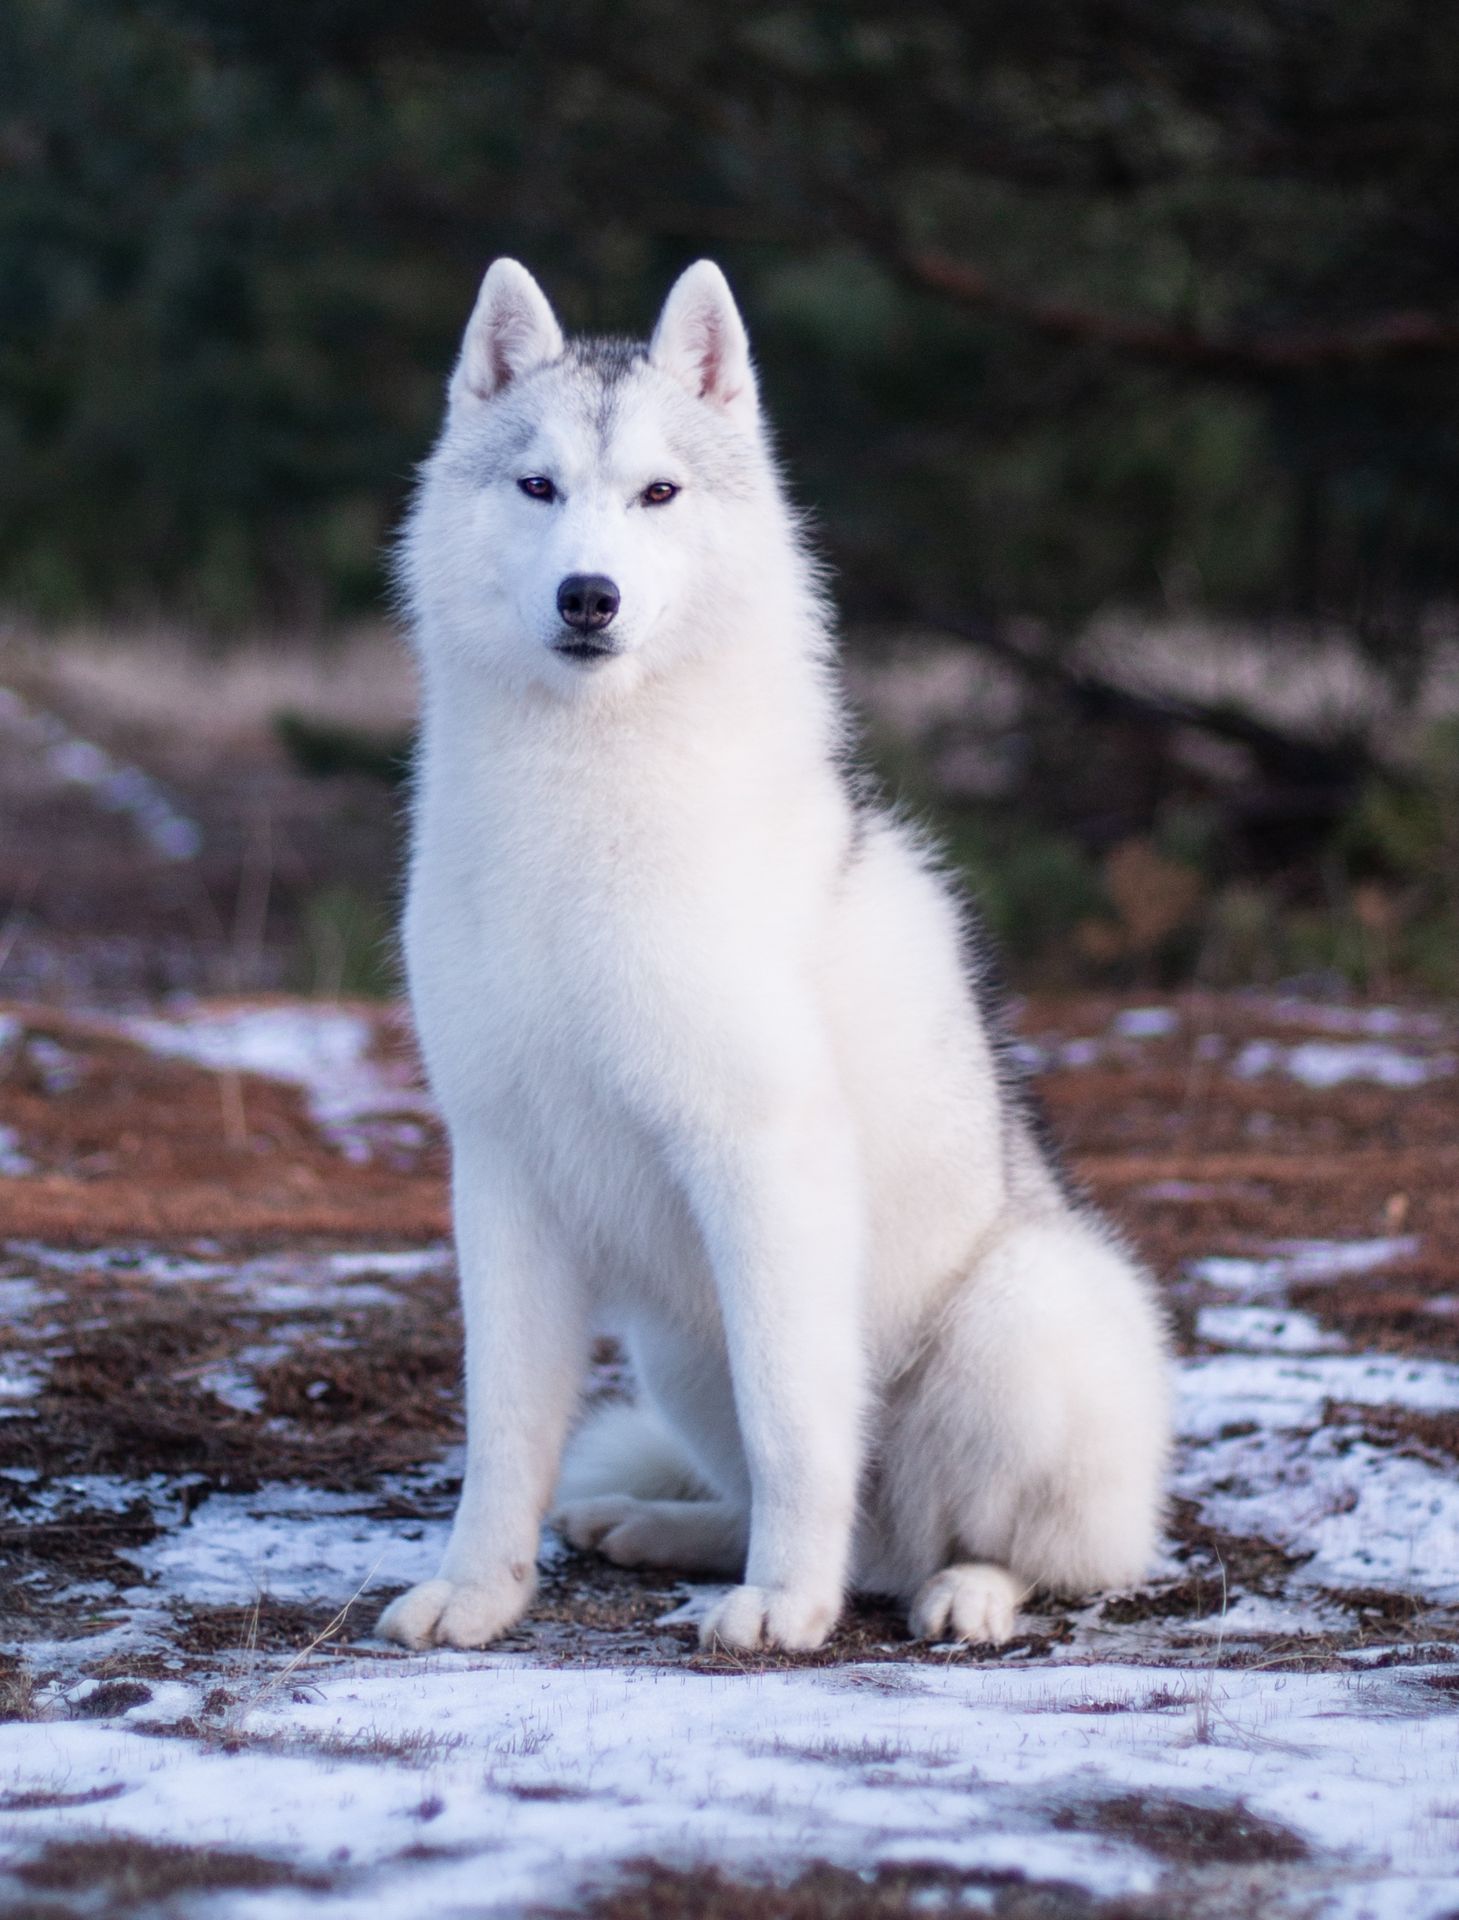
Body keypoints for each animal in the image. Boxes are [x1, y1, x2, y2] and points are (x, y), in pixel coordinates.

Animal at [382, 263, 1167, 1658]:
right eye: (537, 487)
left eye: (658, 493)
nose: (589, 597)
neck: (582, 813)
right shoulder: (502, 1170)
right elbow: (502, 1435)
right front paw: (479, 1595)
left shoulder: (761, 1160)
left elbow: (797, 1422)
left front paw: (786, 1609)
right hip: (672, 1343)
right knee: (803, 1511)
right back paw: (661, 1530)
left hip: (1016, 1327)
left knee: (1015, 1552)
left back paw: (953, 1591)